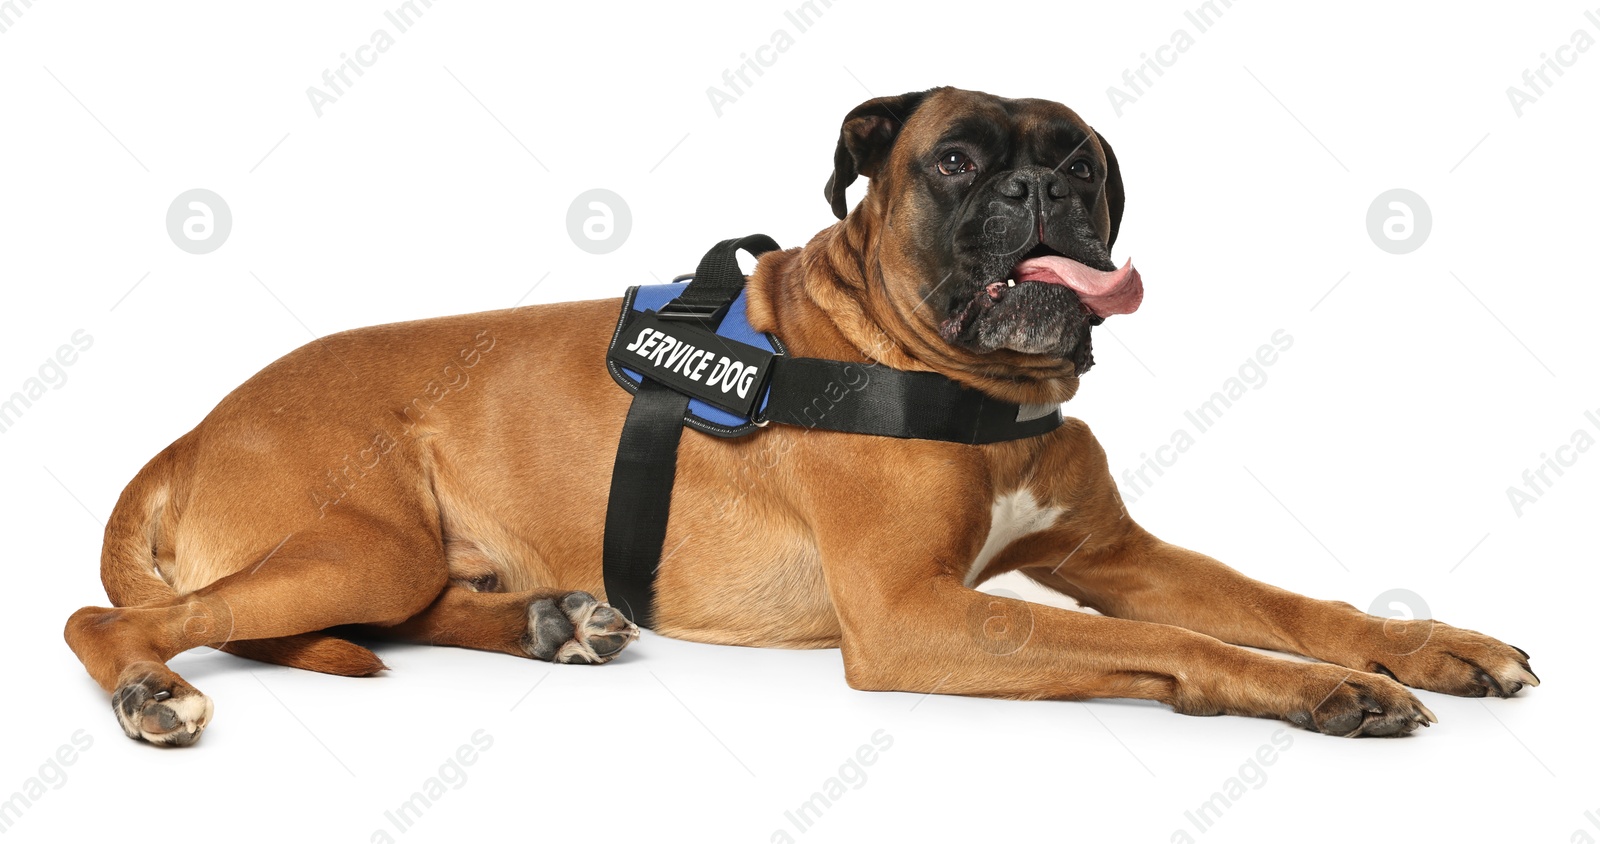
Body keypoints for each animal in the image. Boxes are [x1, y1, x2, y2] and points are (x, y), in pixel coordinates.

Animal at [65, 85, 1536, 744]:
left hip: (401, 554)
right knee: (118, 619)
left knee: (388, 615)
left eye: (1081, 161)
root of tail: (186, 433)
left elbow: (1284, 602)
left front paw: (1431, 646)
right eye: (957, 160)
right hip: (361, 537)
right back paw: (148, 689)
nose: (1042, 194)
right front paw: (1325, 691)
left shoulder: (1114, 554)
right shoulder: (914, 616)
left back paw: (555, 622)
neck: (970, 386)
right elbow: (1188, 647)